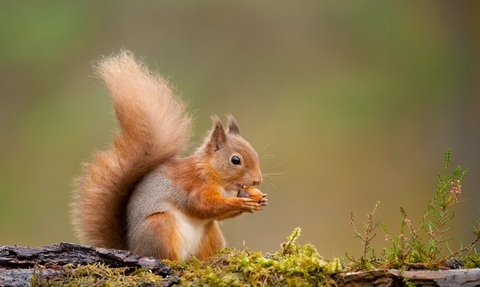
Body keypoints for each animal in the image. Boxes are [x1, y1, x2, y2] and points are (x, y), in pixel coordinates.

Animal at [71, 50, 266, 262]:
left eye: (255, 153)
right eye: (235, 160)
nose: (257, 180)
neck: (213, 173)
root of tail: (133, 248)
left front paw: (261, 198)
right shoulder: (193, 184)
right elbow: (202, 206)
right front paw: (241, 202)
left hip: (210, 232)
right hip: (160, 227)